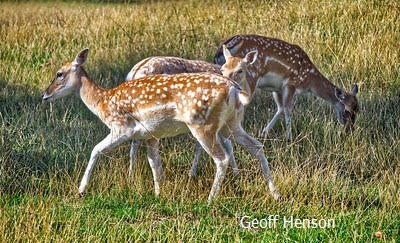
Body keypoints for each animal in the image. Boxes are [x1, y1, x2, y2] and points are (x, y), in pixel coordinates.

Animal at [39, 49, 278, 201]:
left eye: (59, 73)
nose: (44, 95)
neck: (102, 101)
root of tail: (235, 90)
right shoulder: (150, 135)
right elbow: (155, 163)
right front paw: (158, 193)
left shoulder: (121, 126)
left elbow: (96, 149)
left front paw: (81, 190)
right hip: (231, 123)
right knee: (256, 146)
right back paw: (274, 193)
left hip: (203, 124)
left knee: (222, 158)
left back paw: (211, 199)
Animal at [214, 34, 360, 140]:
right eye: (346, 111)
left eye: (357, 110)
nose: (350, 130)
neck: (308, 80)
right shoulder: (291, 83)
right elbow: (288, 110)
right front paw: (289, 138)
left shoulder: (277, 88)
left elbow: (280, 108)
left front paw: (264, 132)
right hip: (251, 77)